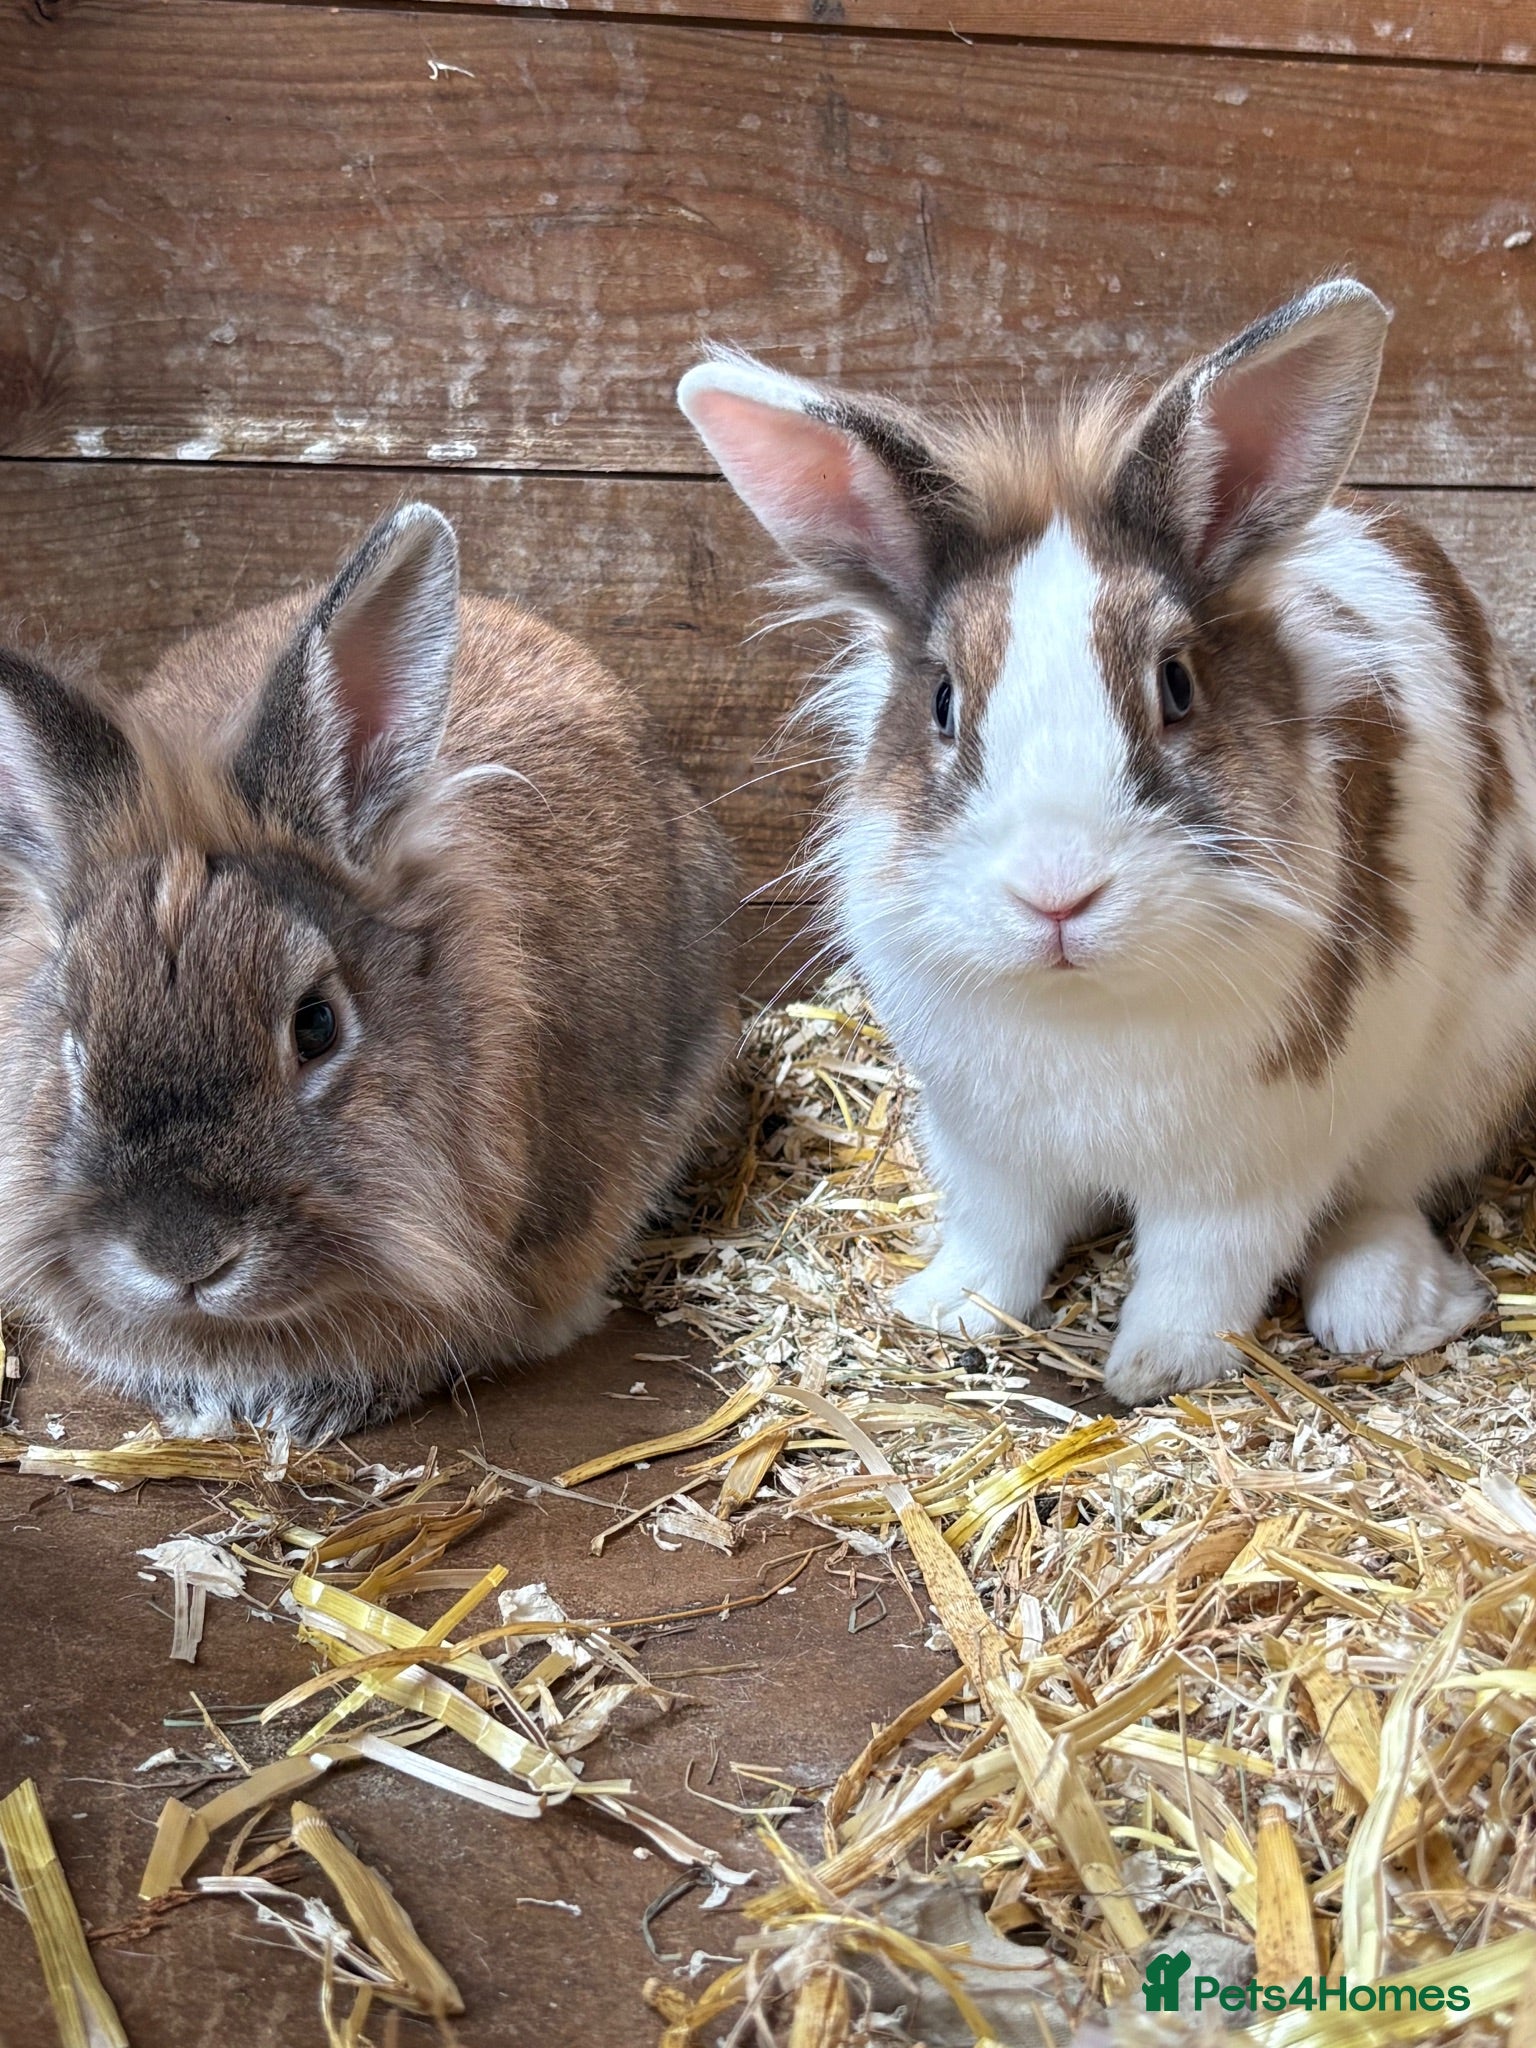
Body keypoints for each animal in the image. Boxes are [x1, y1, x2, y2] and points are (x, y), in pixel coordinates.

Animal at [678, 280, 1536, 1404]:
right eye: (944, 701)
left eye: (1176, 684)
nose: (1057, 892)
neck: (1082, 1004)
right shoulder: (988, 1145)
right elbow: (999, 1237)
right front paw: (949, 1309)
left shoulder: (1245, 1166)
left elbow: (1203, 1269)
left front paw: (1158, 1368)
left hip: (1464, 1077)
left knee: (1382, 1198)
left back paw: (1382, 1309)